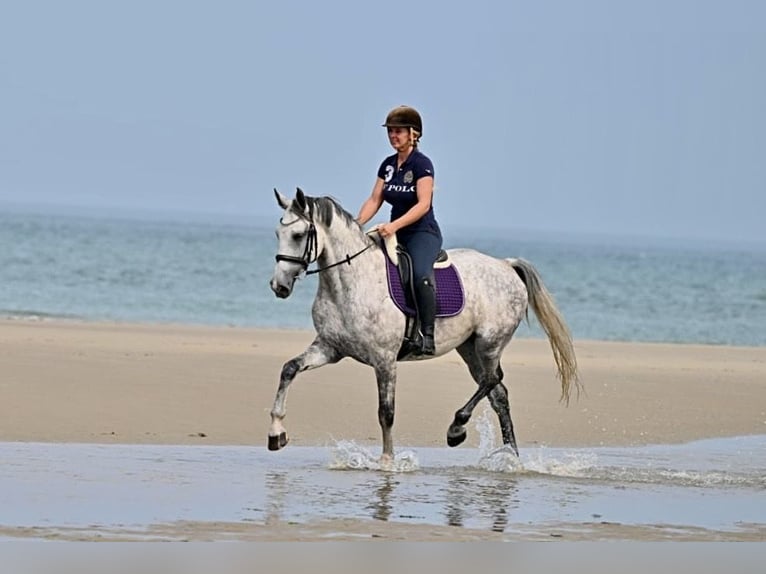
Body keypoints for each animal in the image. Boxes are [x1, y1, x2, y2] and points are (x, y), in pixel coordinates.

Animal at [268, 187, 580, 461]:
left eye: (298, 235)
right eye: (277, 234)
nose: (278, 286)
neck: (349, 283)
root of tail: (506, 265)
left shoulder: (384, 359)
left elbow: (386, 412)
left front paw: (388, 460)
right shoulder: (330, 348)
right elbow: (288, 369)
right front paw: (276, 433)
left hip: (490, 343)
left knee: (493, 380)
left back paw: (457, 429)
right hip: (469, 348)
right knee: (498, 394)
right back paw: (509, 456)